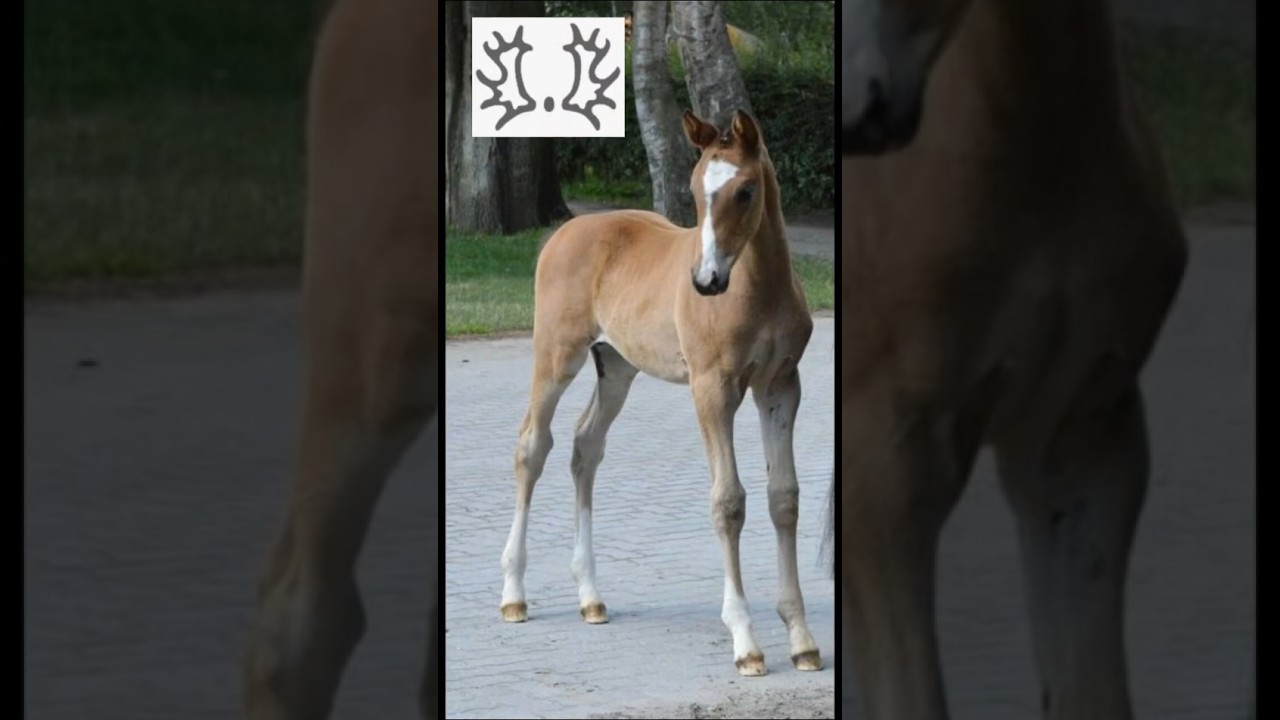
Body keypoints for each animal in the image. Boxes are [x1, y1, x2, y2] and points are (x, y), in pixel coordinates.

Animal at [498, 109, 825, 677]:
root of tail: (566, 231)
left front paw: (802, 639)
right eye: (695, 189)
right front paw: (745, 641)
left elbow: (783, 497)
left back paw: (590, 596)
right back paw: (514, 593)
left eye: (745, 191)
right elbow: (728, 502)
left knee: (586, 446)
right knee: (532, 446)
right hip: (557, 355)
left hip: (616, 366)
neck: (756, 289)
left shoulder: (781, 385)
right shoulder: (712, 389)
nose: (706, 280)